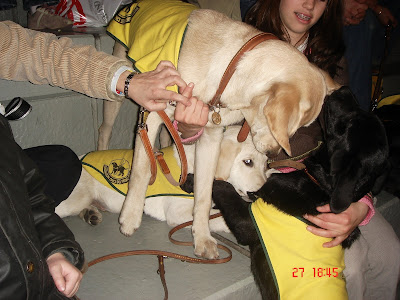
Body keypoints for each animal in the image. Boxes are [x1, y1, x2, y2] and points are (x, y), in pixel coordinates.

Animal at [55, 125, 268, 231]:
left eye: (267, 164)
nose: (259, 195)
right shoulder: (178, 213)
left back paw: (90, 214)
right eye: (247, 162)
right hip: (76, 199)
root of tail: (80, 158)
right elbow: (216, 219)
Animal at [99, 0, 338, 258]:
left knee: (167, 136)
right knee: (105, 129)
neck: (228, 75)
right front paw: (130, 216)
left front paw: (202, 237)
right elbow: (141, 170)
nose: (273, 154)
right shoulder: (152, 113)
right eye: (284, 127)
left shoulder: (210, 136)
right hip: (120, 92)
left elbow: (204, 195)